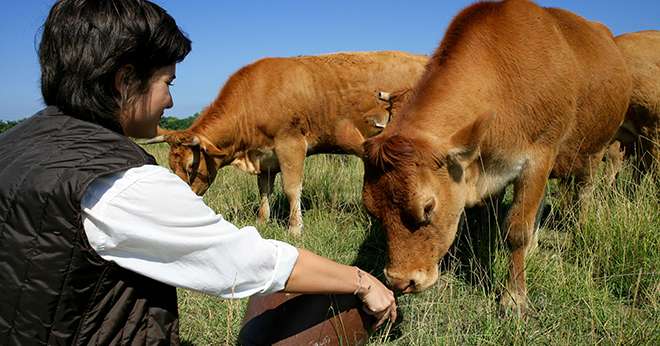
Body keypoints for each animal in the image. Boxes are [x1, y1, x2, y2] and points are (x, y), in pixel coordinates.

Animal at [143, 50, 428, 235]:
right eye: (170, 166)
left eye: (191, 166)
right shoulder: (264, 156)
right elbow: (264, 190)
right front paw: (262, 221)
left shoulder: (290, 145)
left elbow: (292, 188)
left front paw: (295, 228)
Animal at [360, 0, 636, 316]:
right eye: (372, 210)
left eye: (427, 207)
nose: (400, 281)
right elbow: (493, 222)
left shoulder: (538, 158)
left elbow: (516, 230)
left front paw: (514, 298)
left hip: (596, 149)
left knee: (583, 195)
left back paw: (577, 232)